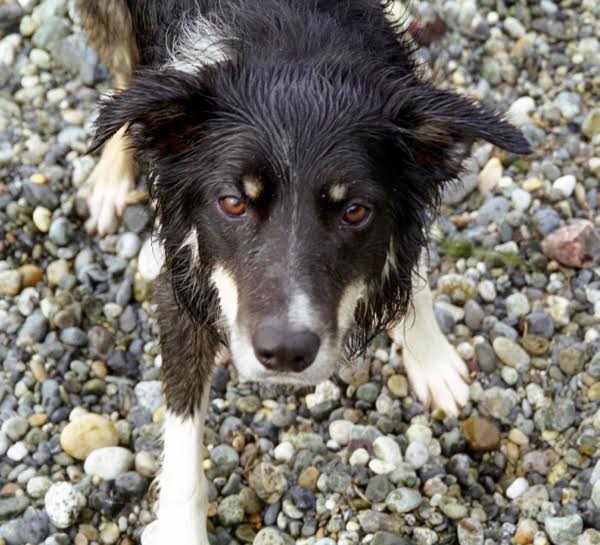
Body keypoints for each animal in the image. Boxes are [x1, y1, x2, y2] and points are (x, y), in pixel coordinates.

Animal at [75, 2, 528, 540]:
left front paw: (432, 359)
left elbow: (411, 269)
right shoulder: (184, 278)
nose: (286, 352)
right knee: (122, 87)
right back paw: (110, 176)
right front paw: (183, 531)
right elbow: (183, 434)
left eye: (354, 211)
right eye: (233, 202)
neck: (289, 48)